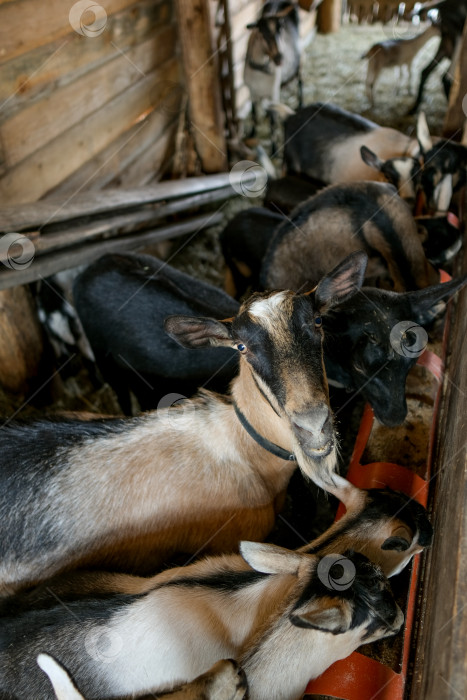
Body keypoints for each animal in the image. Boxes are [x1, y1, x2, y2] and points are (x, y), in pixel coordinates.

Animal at [245, 0, 304, 149]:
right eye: (261, 32)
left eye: (280, 30)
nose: (280, 58)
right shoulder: (252, 92)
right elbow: (254, 115)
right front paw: (251, 134)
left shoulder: (273, 94)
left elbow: (272, 123)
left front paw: (273, 148)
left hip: (300, 59)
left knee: (300, 81)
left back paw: (301, 103)